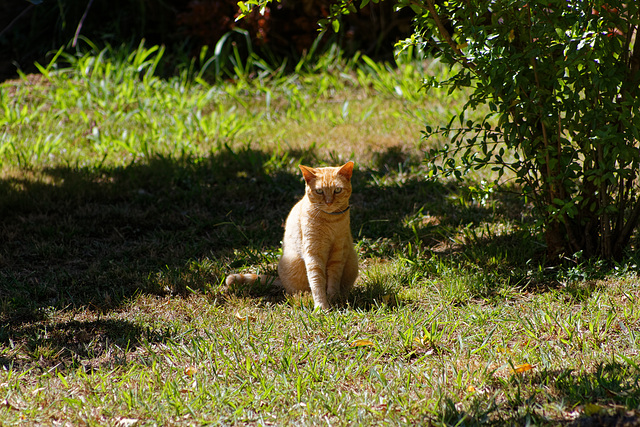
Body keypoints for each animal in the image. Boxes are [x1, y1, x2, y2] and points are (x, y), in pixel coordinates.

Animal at [225, 162, 358, 310]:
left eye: (337, 190)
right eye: (319, 191)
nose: (329, 202)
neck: (330, 220)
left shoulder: (338, 252)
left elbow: (334, 279)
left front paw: (333, 298)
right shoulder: (313, 254)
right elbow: (317, 280)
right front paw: (322, 306)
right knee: (297, 292)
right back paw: (305, 296)